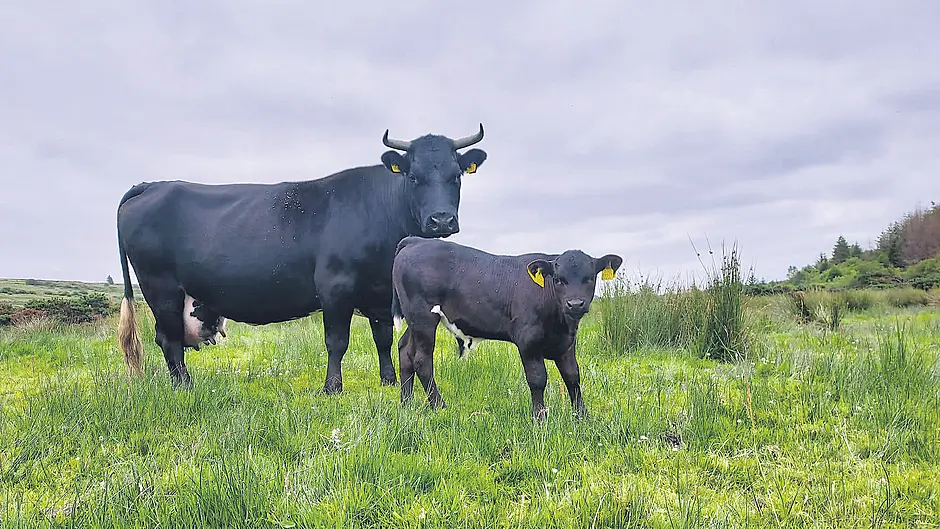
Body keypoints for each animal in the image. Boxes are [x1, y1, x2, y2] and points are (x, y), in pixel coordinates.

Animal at [116, 125, 488, 394]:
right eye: (413, 176)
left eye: (456, 175)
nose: (441, 220)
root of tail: (153, 184)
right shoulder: (335, 287)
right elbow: (337, 342)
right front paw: (332, 388)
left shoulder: (380, 293)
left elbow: (381, 339)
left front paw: (388, 381)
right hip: (160, 288)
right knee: (169, 339)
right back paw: (184, 387)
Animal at [389, 236, 622, 421]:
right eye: (558, 279)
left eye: (589, 278)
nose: (575, 304)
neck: (560, 322)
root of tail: (417, 240)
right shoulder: (528, 340)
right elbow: (537, 378)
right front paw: (539, 418)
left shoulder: (566, 343)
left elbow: (573, 377)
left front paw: (583, 416)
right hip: (423, 317)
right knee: (421, 360)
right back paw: (440, 407)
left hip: (415, 321)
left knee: (404, 350)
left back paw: (406, 404)